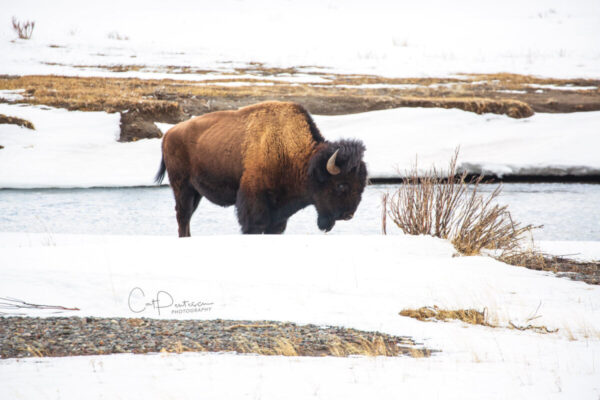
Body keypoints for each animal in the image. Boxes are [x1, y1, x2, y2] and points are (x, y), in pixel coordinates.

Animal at [156, 101, 366, 236]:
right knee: (183, 216)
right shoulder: (253, 205)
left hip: (195, 191)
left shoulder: (279, 216)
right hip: (182, 187)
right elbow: (253, 226)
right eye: (341, 185)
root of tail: (168, 133)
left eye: (361, 186)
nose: (348, 215)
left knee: (187, 217)